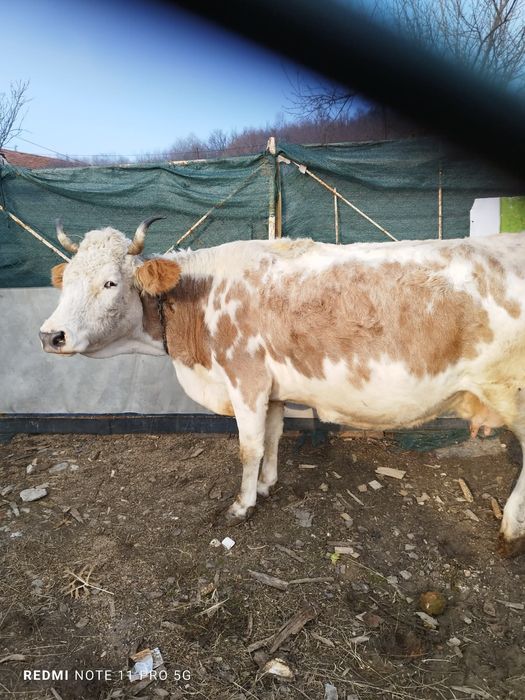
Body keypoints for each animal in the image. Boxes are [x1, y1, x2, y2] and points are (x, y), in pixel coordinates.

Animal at [39, 218, 525, 557]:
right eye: (68, 281)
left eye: (110, 282)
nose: (51, 335)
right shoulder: (270, 387)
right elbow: (272, 435)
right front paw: (267, 485)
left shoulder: (246, 378)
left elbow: (249, 446)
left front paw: (242, 504)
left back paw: (510, 531)